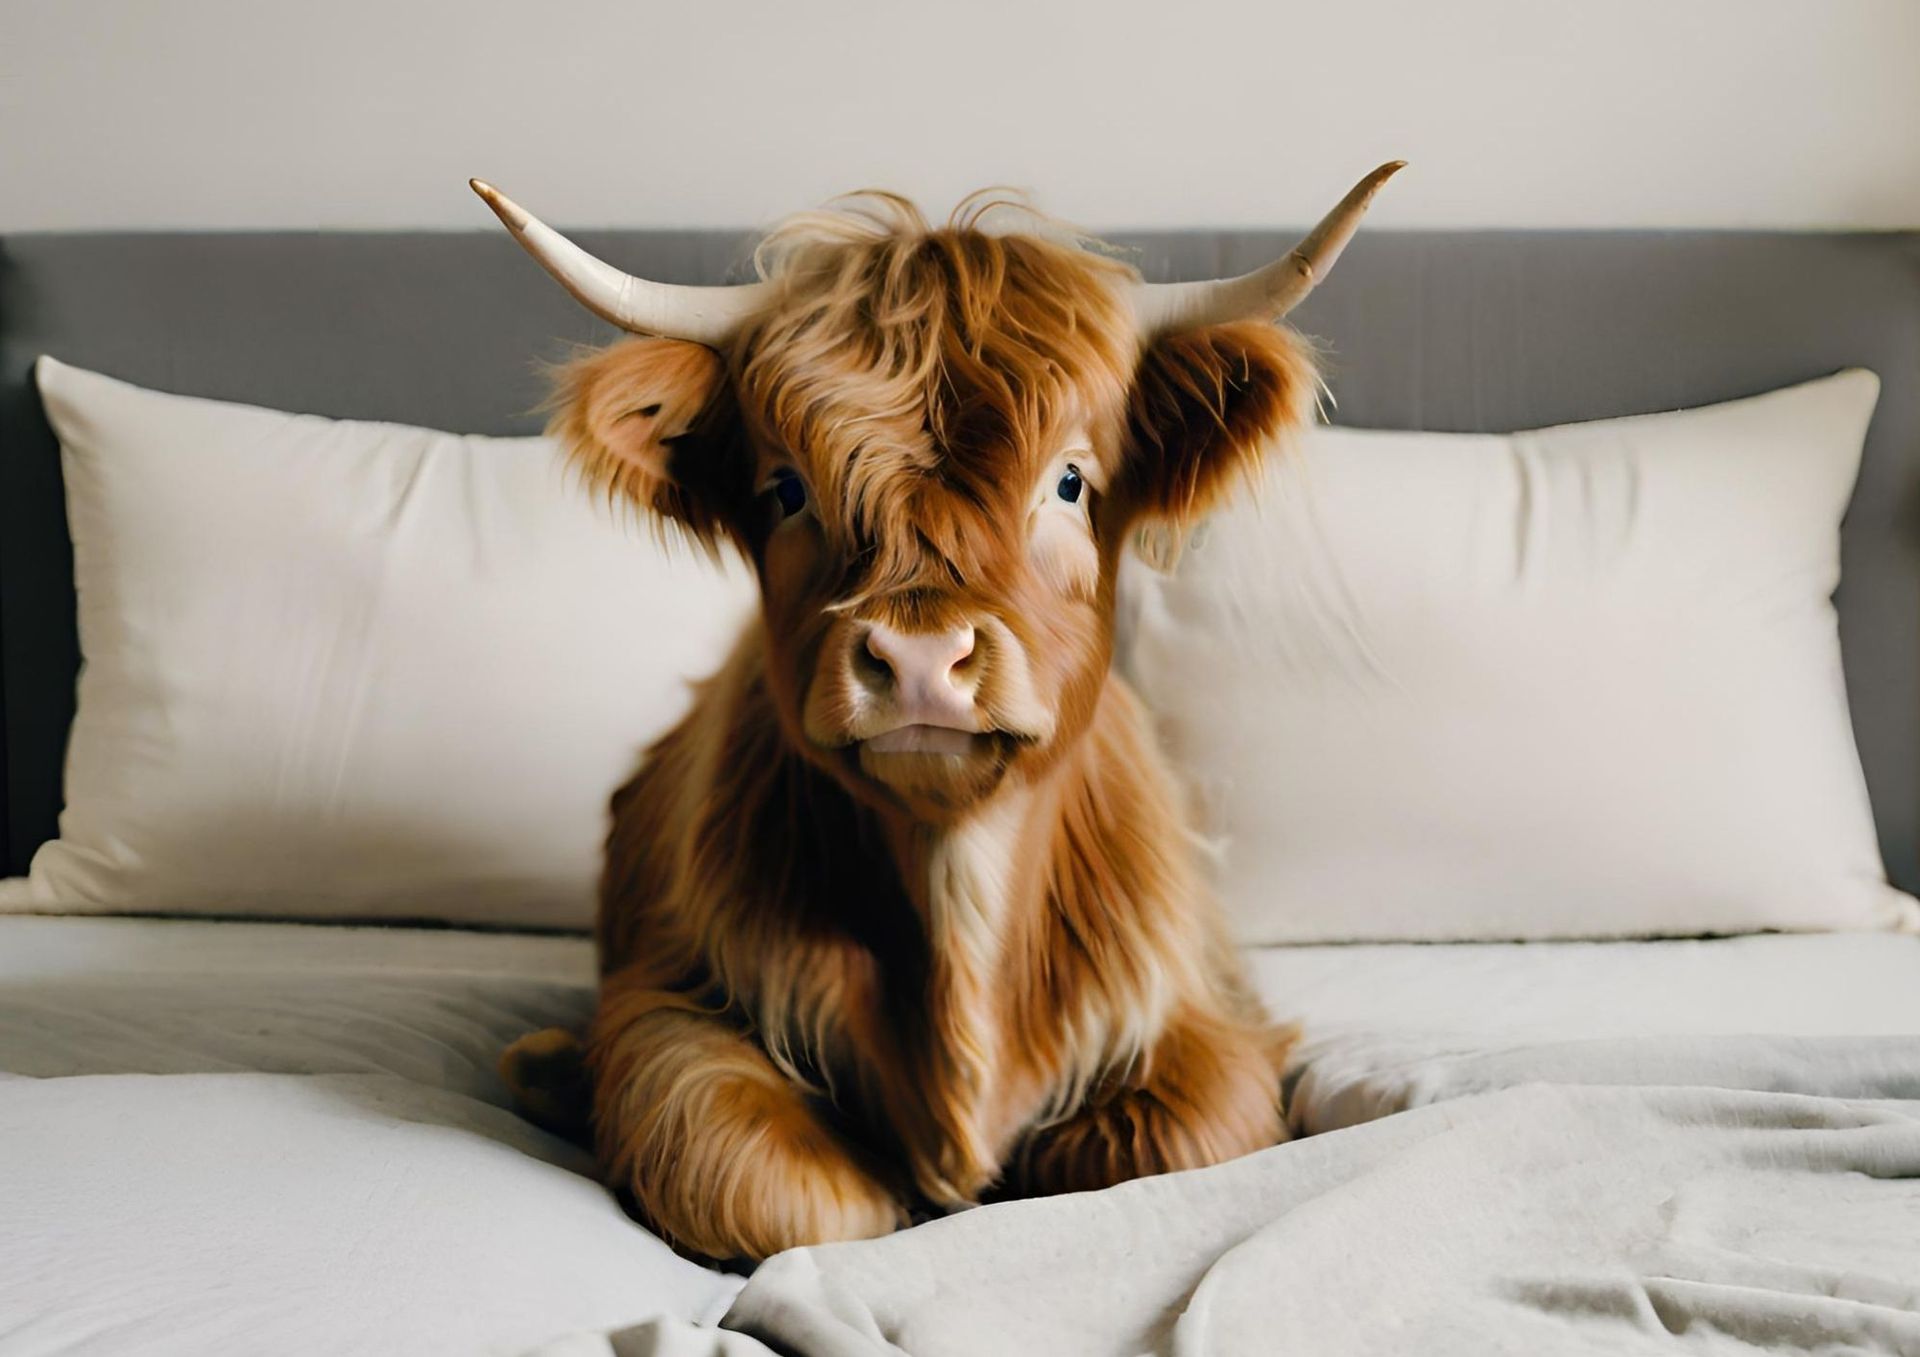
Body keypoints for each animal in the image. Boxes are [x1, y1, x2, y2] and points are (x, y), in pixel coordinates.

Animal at [477, 164, 1401, 1264]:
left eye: (1070, 480)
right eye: (785, 488)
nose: (921, 659)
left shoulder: (1202, 1014)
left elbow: (1172, 1141)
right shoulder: (670, 1001)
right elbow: (775, 1186)